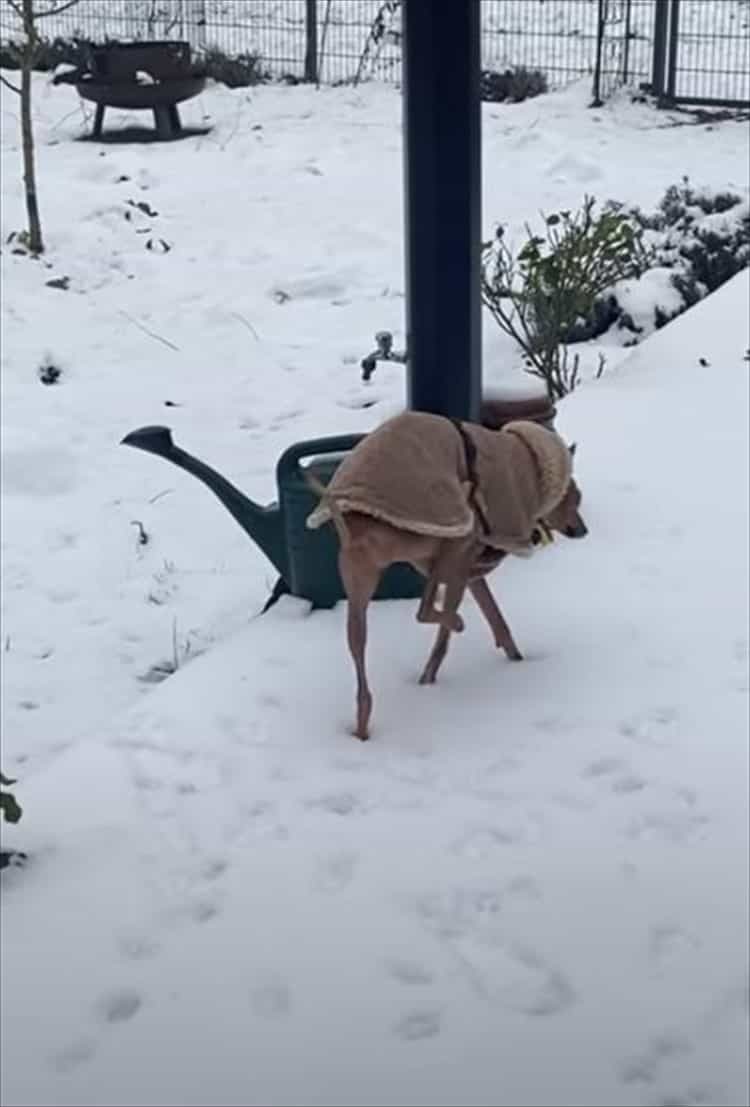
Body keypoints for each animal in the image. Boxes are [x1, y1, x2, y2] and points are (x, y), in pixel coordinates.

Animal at [305, 405, 588, 735]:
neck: (529, 462)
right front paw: (432, 673)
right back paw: (455, 623)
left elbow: (498, 621)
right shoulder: (462, 559)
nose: (583, 530)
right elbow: (446, 637)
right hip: (449, 542)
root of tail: (355, 524)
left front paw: (516, 659)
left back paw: (362, 727)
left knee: (364, 655)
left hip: (363, 587)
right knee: (426, 610)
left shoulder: (465, 571)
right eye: (575, 498)